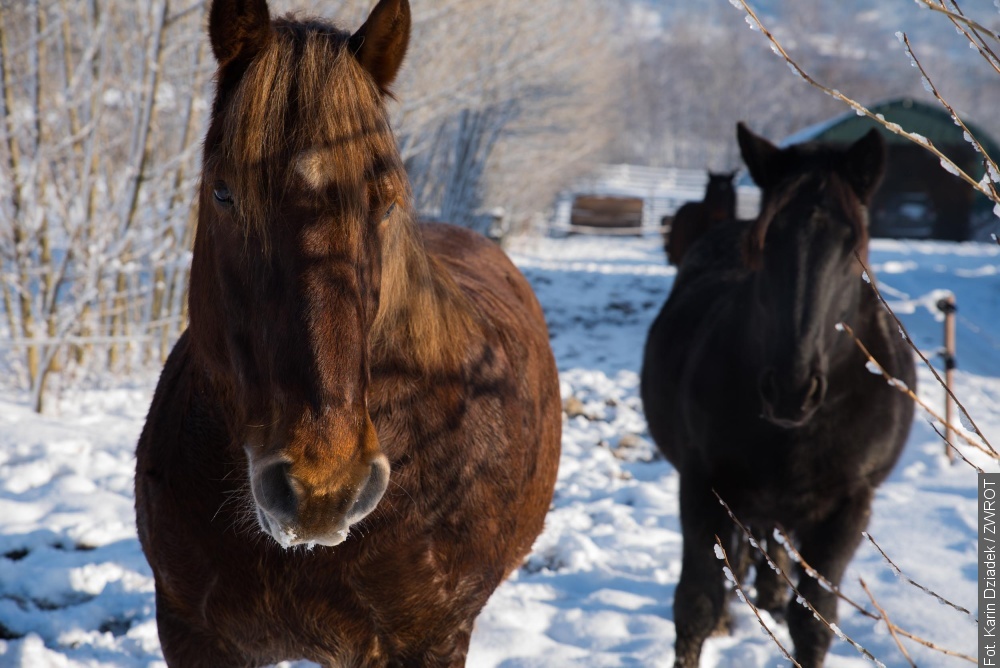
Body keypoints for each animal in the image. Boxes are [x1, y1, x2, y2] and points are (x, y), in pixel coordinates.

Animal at [640, 125, 916, 668]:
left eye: (852, 243)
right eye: (766, 241)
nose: (792, 389)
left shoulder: (848, 507)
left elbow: (813, 620)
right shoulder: (702, 487)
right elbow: (696, 603)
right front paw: (716, 615)